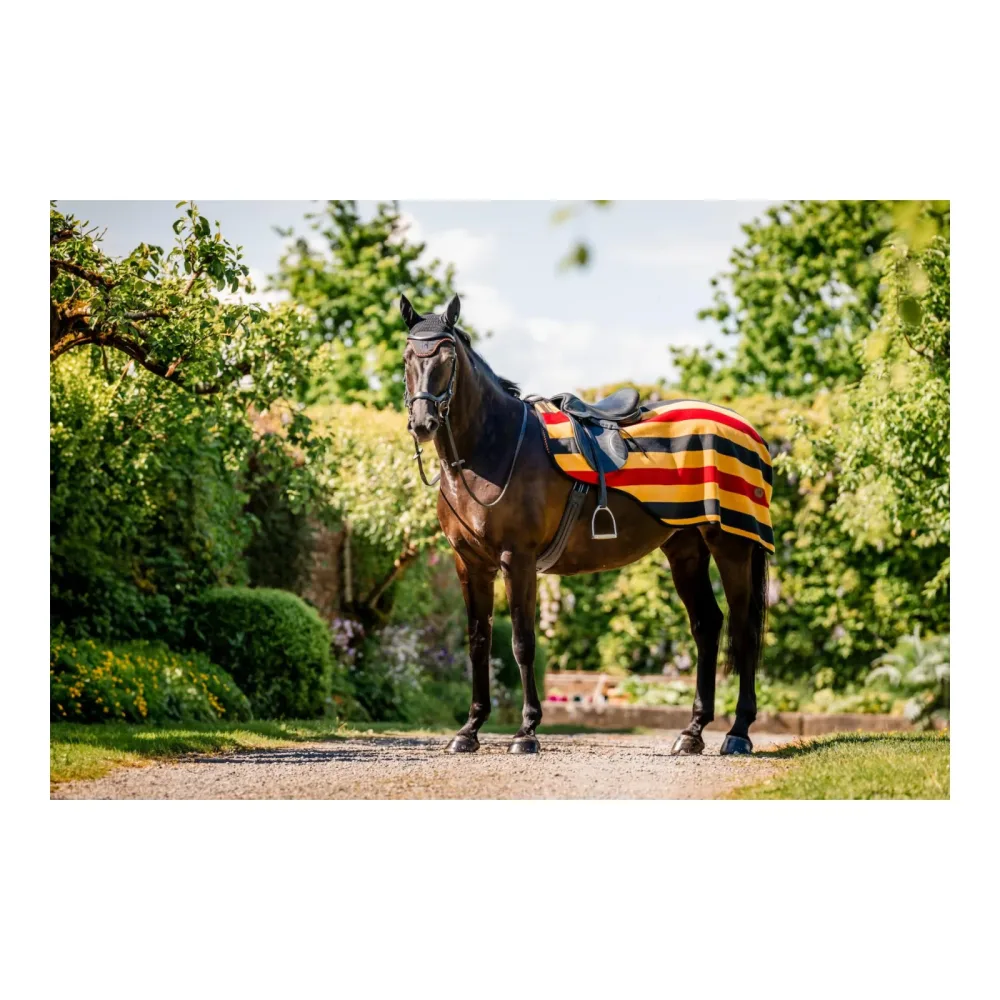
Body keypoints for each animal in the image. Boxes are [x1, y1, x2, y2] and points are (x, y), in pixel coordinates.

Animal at [400, 293, 769, 757]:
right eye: (408, 356)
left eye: (447, 357)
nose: (423, 423)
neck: (492, 449)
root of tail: (750, 432)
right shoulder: (470, 563)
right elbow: (478, 641)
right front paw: (469, 729)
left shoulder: (517, 560)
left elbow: (522, 643)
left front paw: (526, 731)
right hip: (686, 549)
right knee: (707, 626)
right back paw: (692, 733)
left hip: (732, 545)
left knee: (743, 629)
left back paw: (738, 733)